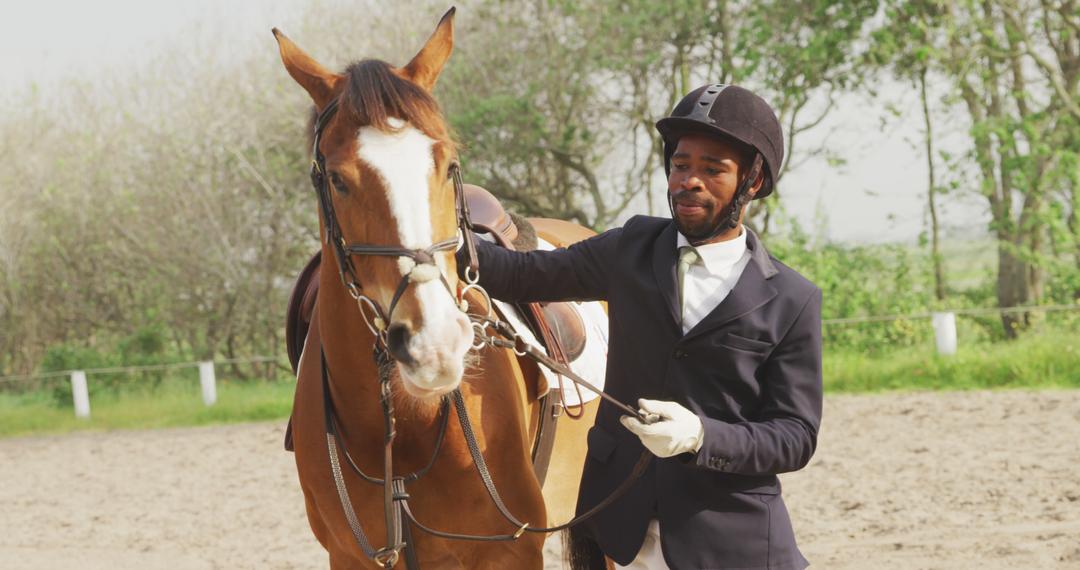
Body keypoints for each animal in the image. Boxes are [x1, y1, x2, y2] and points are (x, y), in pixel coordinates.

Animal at [272, 8, 600, 570]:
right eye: (338, 180)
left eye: (449, 166)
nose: (435, 345)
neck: (406, 427)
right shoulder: (352, 556)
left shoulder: (511, 552)